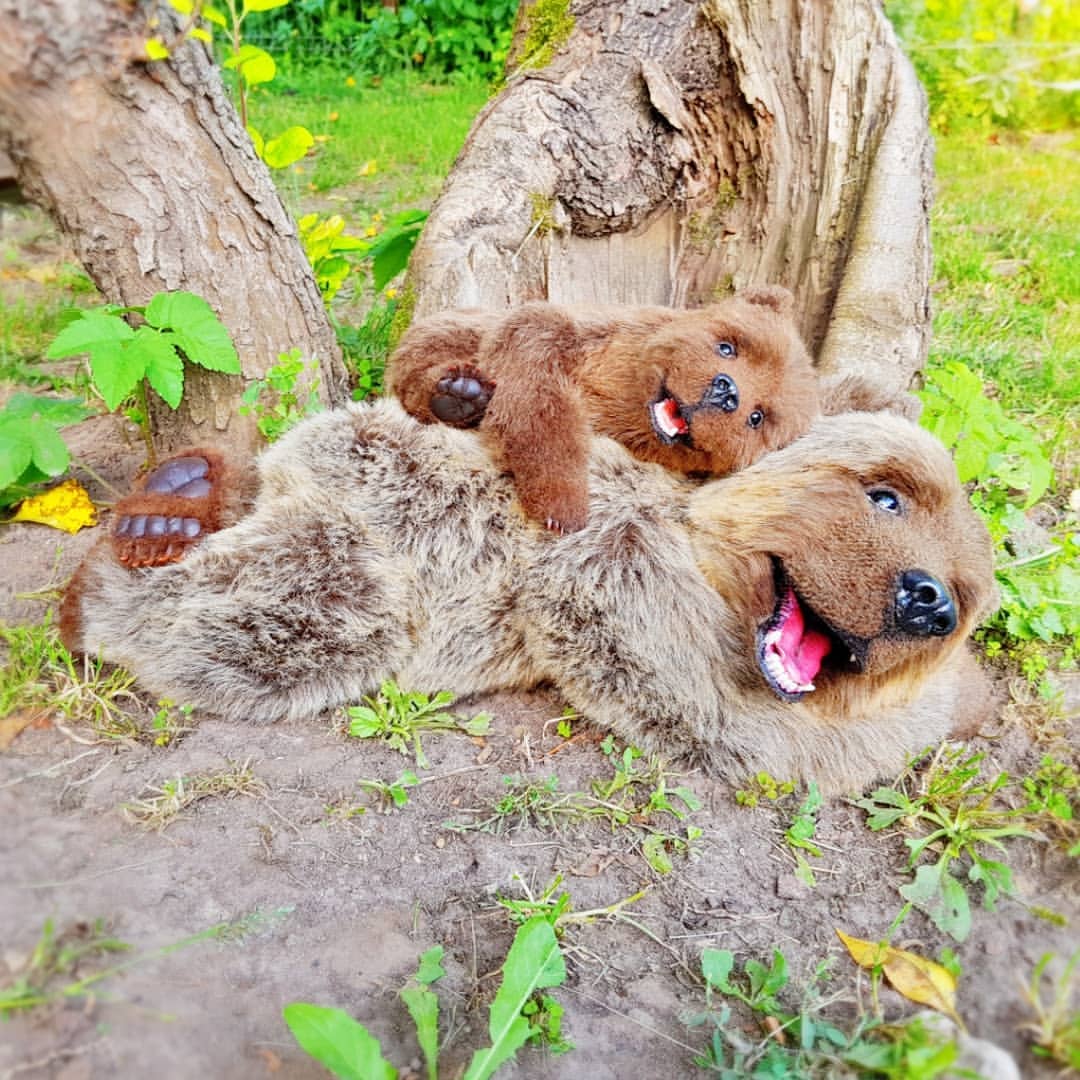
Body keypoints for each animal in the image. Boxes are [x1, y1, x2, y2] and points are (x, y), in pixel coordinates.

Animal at [60, 396, 997, 793]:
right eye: (885, 495)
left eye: (964, 591)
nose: (929, 603)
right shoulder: (622, 568)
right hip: (338, 558)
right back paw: (152, 525)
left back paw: (170, 510)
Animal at [386, 287, 820, 533]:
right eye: (728, 346)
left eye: (757, 417)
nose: (725, 391)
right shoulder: (577, 329)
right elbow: (540, 394)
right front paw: (563, 503)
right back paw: (460, 392)